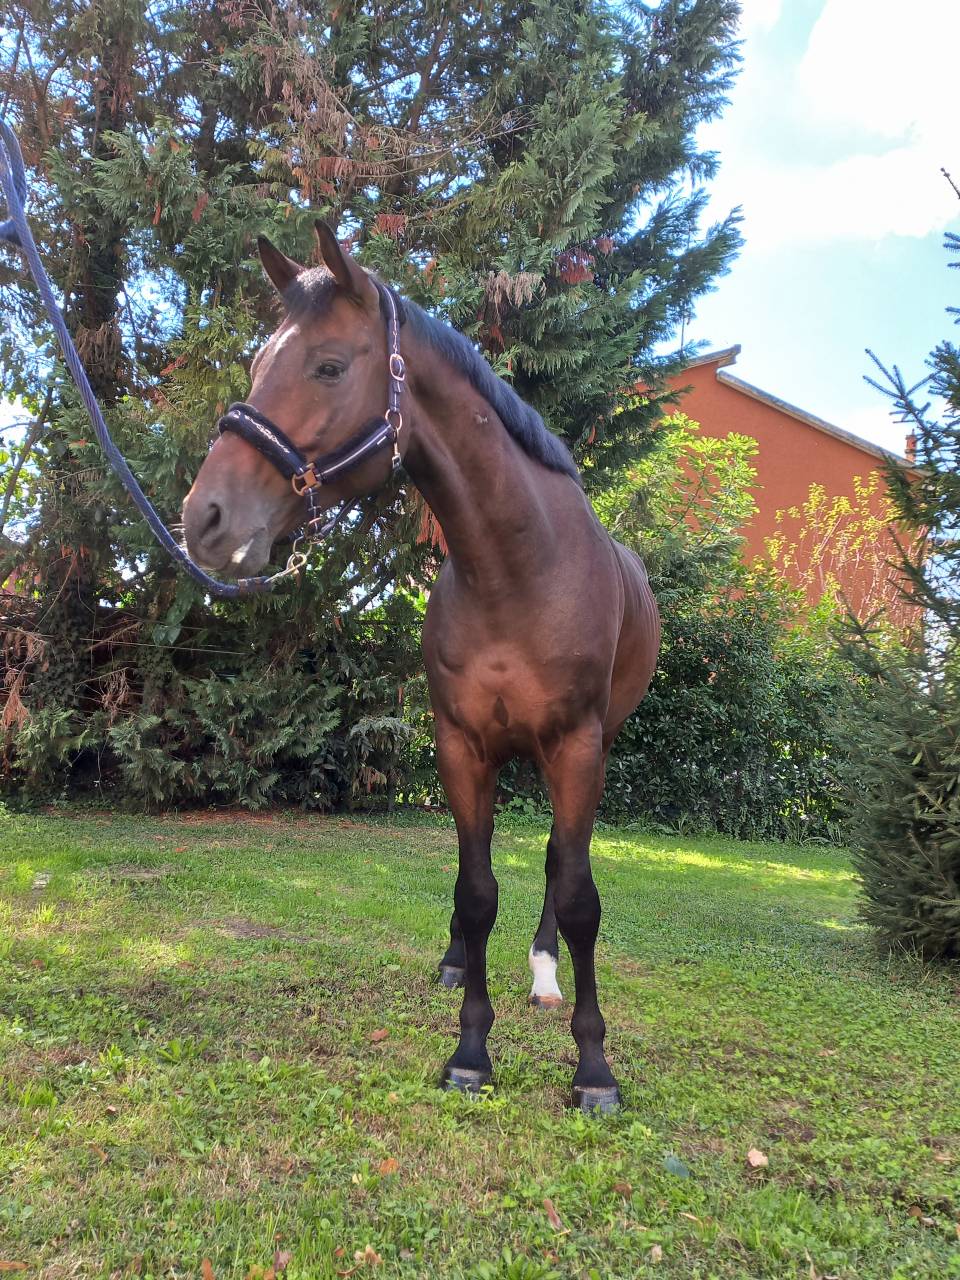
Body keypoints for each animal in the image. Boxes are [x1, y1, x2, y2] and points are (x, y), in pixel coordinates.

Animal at [182, 223, 661, 1112]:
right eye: (258, 363)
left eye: (331, 366)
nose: (206, 519)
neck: (517, 568)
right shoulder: (460, 744)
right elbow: (474, 892)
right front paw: (471, 1050)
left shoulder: (578, 747)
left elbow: (578, 896)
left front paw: (593, 1068)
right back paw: (455, 963)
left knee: (557, 864)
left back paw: (544, 974)